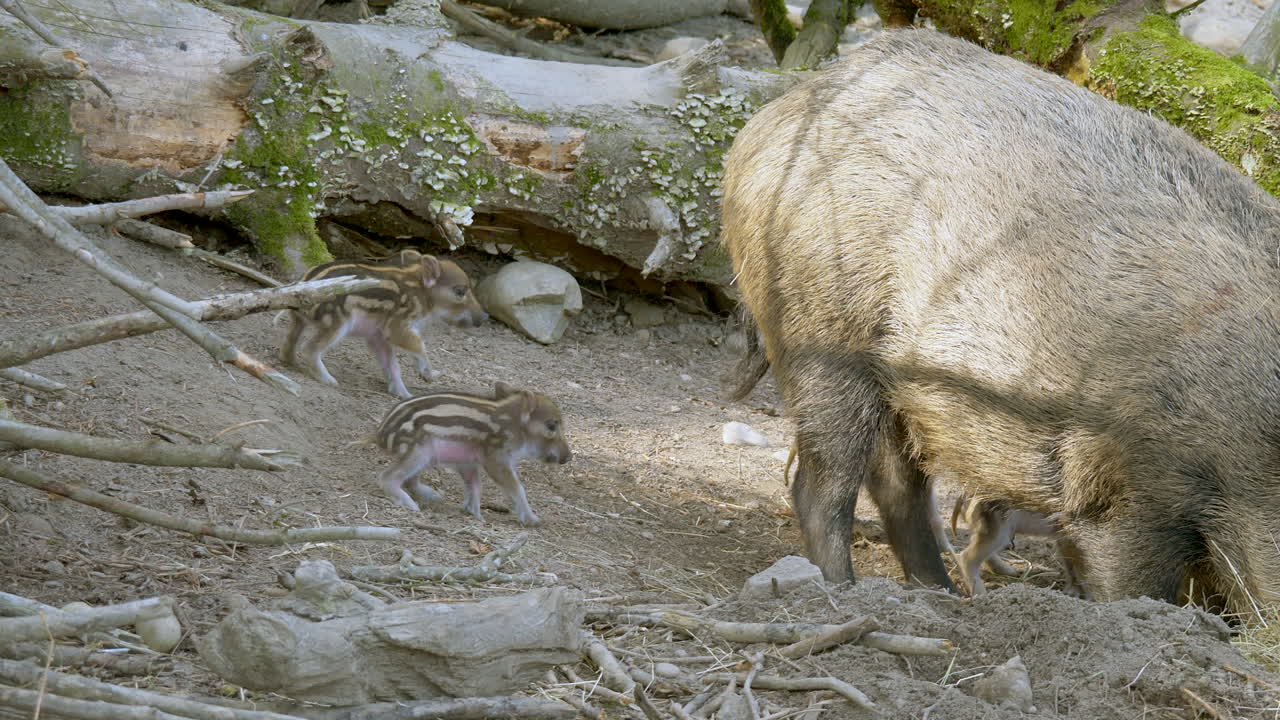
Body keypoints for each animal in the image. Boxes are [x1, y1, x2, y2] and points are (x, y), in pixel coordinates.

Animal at [280, 249, 487, 399]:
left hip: (300, 321)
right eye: (460, 291)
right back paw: (329, 380)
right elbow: (419, 346)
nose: (484, 318)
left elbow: (393, 365)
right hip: (337, 323)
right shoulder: (398, 326)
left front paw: (404, 395)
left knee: (290, 341)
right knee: (310, 348)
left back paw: (292, 362)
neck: (422, 294)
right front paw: (431, 375)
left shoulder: (377, 336)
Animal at [372, 381, 571, 525]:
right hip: (418, 452)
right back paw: (412, 505)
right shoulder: (495, 458)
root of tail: (380, 434)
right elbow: (516, 487)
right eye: (551, 425)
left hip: (426, 458)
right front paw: (534, 521)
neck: (513, 425)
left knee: (410, 480)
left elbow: (474, 485)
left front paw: (476, 515)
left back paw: (435, 496)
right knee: (387, 477)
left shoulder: (468, 462)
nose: (568, 457)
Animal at [720, 28, 1280, 615]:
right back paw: (847, 591)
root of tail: (771, 118)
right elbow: (1133, 582)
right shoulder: (1124, 487)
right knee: (823, 484)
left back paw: (940, 597)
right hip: (819, 334)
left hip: (896, 379)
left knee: (898, 486)